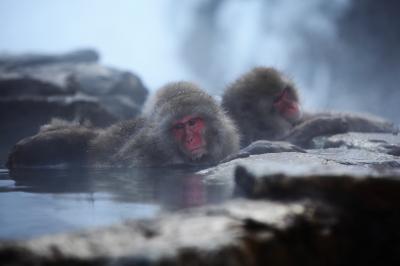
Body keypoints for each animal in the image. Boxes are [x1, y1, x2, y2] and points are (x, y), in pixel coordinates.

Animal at [222, 66, 396, 149]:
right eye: (277, 101)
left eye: (285, 93)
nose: (293, 106)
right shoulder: (254, 134)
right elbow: (285, 141)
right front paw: (328, 123)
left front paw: (380, 125)